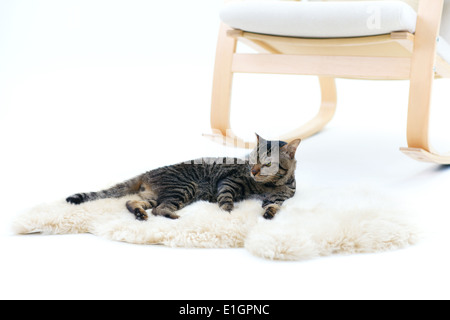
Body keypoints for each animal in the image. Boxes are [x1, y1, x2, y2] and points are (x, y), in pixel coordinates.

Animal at [66, 134, 298, 220]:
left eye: (267, 164)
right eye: (252, 159)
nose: (253, 171)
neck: (270, 186)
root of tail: (149, 172)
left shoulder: (280, 198)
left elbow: (274, 205)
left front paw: (269, 212)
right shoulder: (228, 182)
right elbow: (226, 199)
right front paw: (229, 212)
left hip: (159, 195)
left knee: (133, 203)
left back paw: (140, 213)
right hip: (185, 188)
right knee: (158, 210)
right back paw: (172, 216)